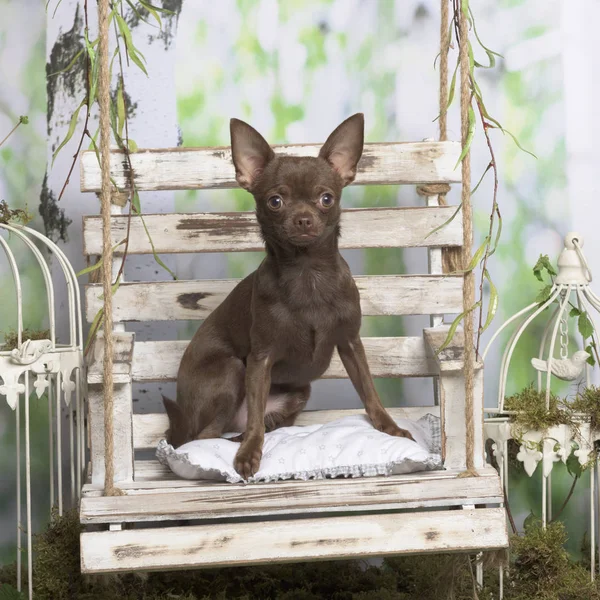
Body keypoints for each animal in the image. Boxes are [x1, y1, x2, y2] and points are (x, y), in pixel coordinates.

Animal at [166, 113, 414, 478]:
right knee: (205, 436)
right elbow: (255, 418)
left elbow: (369, 391)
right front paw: (249, 454)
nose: (303, 218)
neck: (307, 273)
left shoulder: (351, 343)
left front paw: (390, 428)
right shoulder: (261, 360)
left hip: (299, 390)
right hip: (230, 370)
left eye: (326, 198)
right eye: (275, 201)